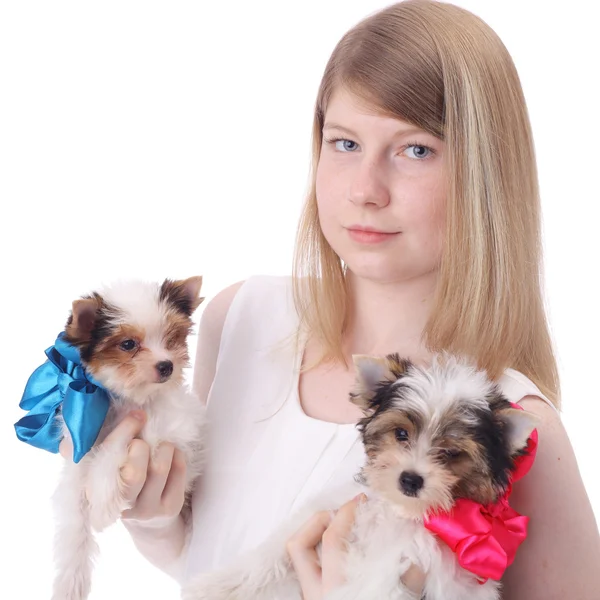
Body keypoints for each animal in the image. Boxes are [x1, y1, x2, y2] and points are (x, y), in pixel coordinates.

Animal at [183, 354, 540, 596]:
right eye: (400, 433)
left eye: (452, 454)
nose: (410, 479)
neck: (398, 511)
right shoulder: (331, 508)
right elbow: (270, 552)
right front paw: (219, 585)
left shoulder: (406, 566)